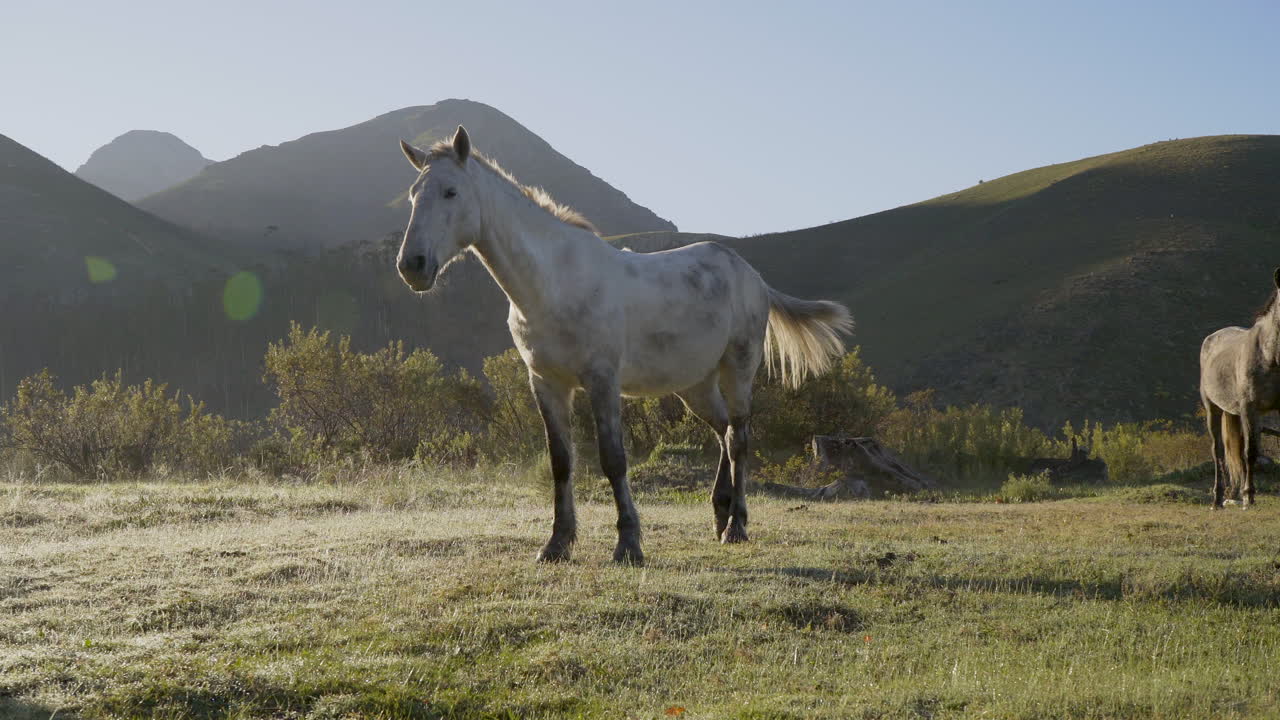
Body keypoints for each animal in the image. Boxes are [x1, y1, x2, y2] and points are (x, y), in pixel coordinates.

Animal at [395, 126, 852, 564]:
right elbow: (561, 461)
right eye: (414, 194)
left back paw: (736, 526)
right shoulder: (545, 382)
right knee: (723, 433)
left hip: (738, 368)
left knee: (739, 438)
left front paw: (628, 543)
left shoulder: (602, 380)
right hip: (695, 386)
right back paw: (719, 513)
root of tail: (752, 277)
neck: (554, 282)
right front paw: (557, 543)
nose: (411, 265)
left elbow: (613, 458)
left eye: (451, 191)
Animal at [1199, 267, 1280, 509]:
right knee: (1218, 451)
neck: (1270, 356)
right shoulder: (1250, 408)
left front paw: (1245, 494)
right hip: (1213, 409)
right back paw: (1218, 499)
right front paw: (1249, 496)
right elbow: (1250, 452)